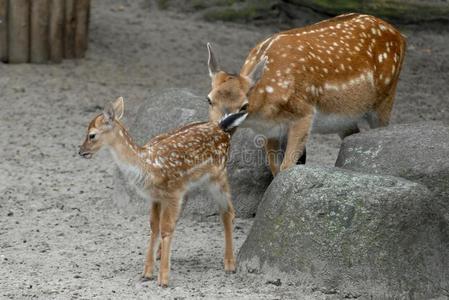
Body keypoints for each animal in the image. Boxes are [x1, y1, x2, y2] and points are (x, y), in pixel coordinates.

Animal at [77, 97, 245, 288]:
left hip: (218, 176)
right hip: (188, 187)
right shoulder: (157, 197)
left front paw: (163, 279)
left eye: (92, 135)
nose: (81, 151)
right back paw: (159, 253)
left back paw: (230, 263)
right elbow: (154, 227)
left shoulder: (172, 192)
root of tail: (223, 128)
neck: (148, 166)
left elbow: (165, 229)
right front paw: (147, 272)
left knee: (228, 212)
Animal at [206, 12, 406, 175]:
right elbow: (274, 168)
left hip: (386, 96)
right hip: (345, 118)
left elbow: (286, 167)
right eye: (209, 99)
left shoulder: (305, 113)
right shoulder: (271, 130)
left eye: (244, 105)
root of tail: (401, 36)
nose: (218, 129)